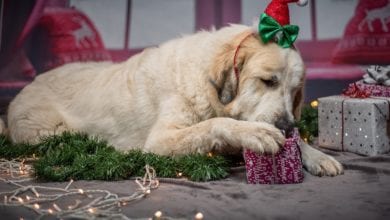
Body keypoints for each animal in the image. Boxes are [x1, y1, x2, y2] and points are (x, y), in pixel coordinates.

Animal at [5, 25, 342, 177]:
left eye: (295, 92)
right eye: (268, 81)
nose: (285, 126)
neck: (208, 85)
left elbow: (298, 142)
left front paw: (315, 154)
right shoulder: (161, 140)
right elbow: (215, 123)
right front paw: (255, 133)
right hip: (48, 131)